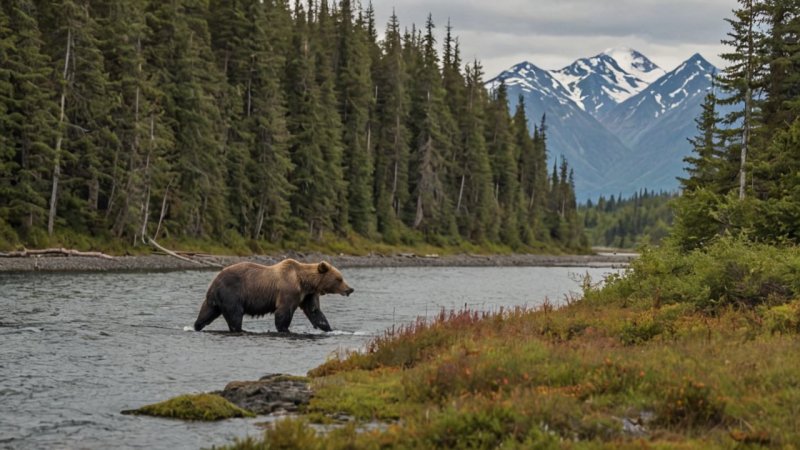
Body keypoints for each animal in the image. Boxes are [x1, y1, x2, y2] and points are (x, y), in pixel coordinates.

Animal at [191, 258, 354, 332]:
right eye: (339, 279)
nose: (350, 289)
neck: (304, 282)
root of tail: (215, 280)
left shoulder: (308, 294)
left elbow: (315, 311)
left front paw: (328, 328)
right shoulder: (289, 290)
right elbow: (283, 312)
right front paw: (285, 329)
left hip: (215, 298)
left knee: (206, 313)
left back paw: (197, 326)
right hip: (232, 293)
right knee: (235, 314)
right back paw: (240, 329)